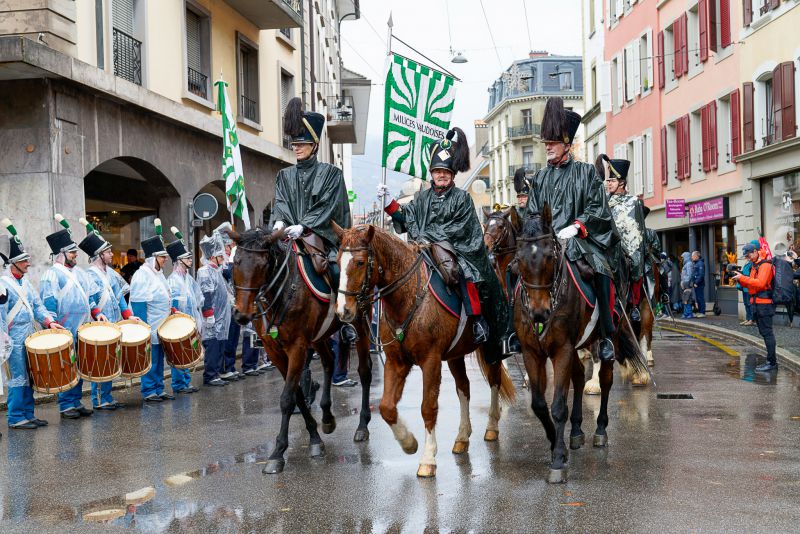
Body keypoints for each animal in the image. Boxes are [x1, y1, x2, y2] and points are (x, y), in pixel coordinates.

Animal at [227, 228, 374, 476]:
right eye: (236, 262)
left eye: (262, 265)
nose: (242, 314)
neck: (283, 290)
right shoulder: (274, 350)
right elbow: (295, 394)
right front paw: (314, 438)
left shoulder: (297, 347)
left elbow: (287, 398)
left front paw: (277, 453)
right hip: (319, 337)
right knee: (329, 361)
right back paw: (327, 416)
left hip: (361, 323)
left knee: (364, 371)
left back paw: (362, 426)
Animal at [332, 224, 516, 480]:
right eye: (337, 261)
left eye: (359, 262)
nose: (343, 311)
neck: (408, 297)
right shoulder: (396, 361)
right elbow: (386, 407)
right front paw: (409, 443)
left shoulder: (431, 361)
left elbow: (428, 407)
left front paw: (428, 458)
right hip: (456, 355)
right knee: (464, 387)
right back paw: (462, 437)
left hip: (491, 347)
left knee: (494, 381)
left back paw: (491, 426)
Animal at [512, 205, 648, 486]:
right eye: (518, 260)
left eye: (549, 257)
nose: (539, 313)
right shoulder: (533, 352)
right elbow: (539, 405)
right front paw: (557, 444)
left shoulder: (561, 349)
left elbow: (558, 406)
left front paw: (557, 460)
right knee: (577, 377)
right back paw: (575, 431)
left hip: (606, 337)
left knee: (605, 380)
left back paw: (600, 429)